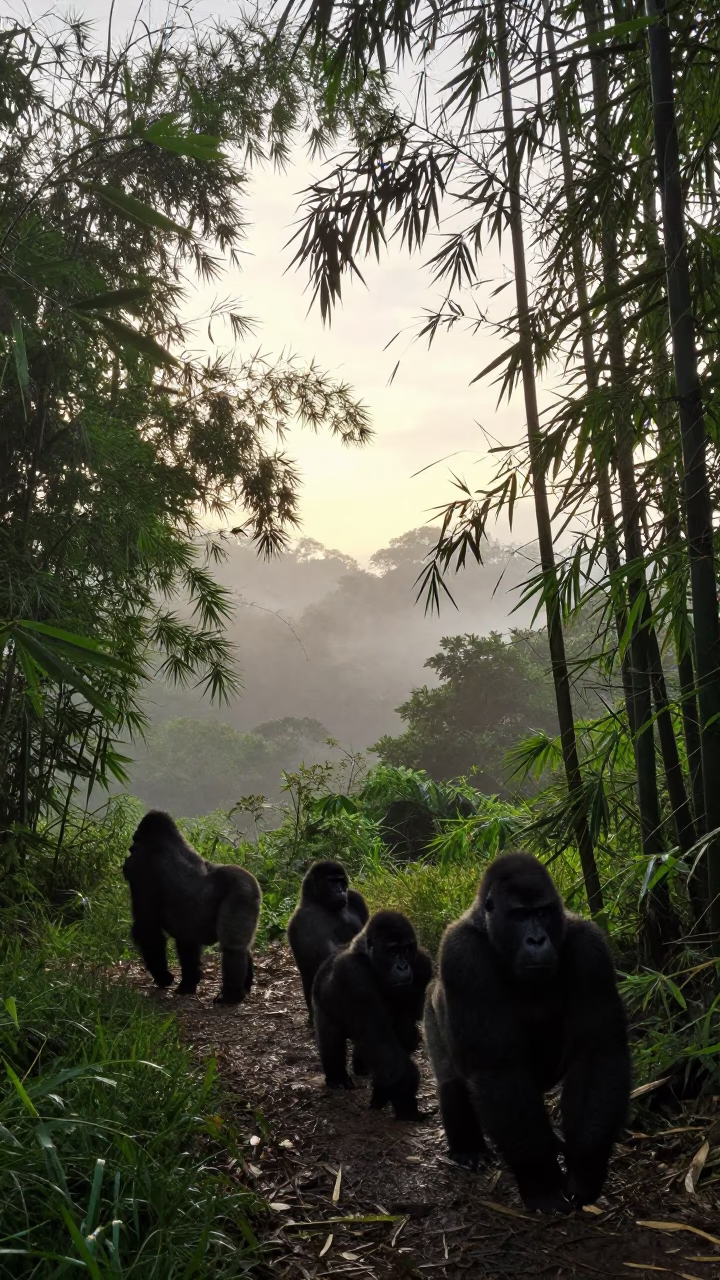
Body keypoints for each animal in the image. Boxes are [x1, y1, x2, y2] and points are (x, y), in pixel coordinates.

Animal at [123, 810, 261, 1005]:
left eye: (134, 843)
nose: (128, 854)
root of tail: (252, 883)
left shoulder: (140, 869)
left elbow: (148, 929)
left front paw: (164, 977)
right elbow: (187, 945)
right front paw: (188, 984)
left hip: (240, 894)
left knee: (232, 947)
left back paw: (231, 995)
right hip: (246, 895)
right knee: (242, 945)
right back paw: (244, 987)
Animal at [287, 859, 368, 1020]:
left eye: (341, 882)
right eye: (331, 882)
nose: (340, 891)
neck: (317, 901)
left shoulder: (355, 897)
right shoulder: (304, 919)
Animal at [312, 910, 433, 1121]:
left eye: (406, 949)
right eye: (392, 951)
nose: (402, 967)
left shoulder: (422, 965)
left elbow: (402, 1034)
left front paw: (383, 1093)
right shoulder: (353, 975)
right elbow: (381, 1042)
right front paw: (406, 1104)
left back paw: (363, 1069)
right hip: (321, 1002)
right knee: (331, 1038)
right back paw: (337, 1077)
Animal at [424, 851, 630, 1214]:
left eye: (543, 912)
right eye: (520, 915)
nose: (536, 939)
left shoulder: (589, 945)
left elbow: (599, 1053)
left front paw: (585, 1168)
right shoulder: (461, 954)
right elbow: (498, 1068)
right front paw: (541, 1179)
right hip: (430, 1009)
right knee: (451, 1077)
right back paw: (469, 1149)